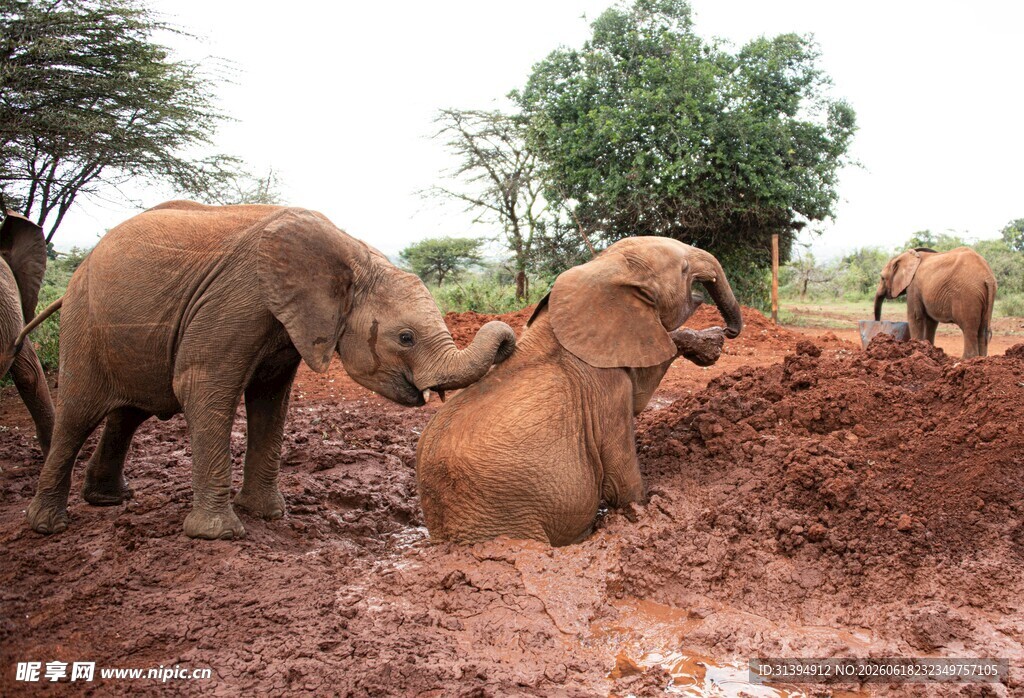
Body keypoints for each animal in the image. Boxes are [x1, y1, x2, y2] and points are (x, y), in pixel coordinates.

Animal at [26, 201, 516, 539]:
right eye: (406, 337)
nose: (510, 341)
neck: (351, 252)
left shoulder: (283, 323)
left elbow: (270, 400)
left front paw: (268, 514)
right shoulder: (236, 301)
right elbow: (202, 387)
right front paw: (219, 535)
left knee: (129, 412)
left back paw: (108, 501)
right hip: (83, 323)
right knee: (79, 413)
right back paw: (46, 526)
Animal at [416, 236, 742, 546]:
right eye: (684, 269)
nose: (730, 331)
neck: (601, 269)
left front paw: (708, 344)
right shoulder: (604, 388)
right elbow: (621, 481)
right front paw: (646, 506)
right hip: (506, 520)